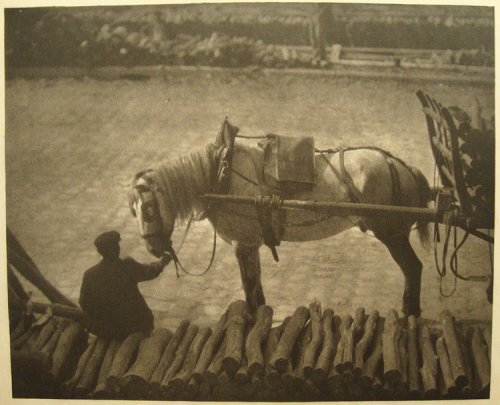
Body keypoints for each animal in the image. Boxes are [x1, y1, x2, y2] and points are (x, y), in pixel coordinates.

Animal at [131, 126, 432, 316]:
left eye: (149, 209)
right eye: (133, 210)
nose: (153, 249)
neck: (221, 176)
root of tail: (400, 165)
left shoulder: (243, 245)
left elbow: (250, 289)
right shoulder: (249, 246)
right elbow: (256, 289)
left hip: (392, 234)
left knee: (413, 268)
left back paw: (411, 312)